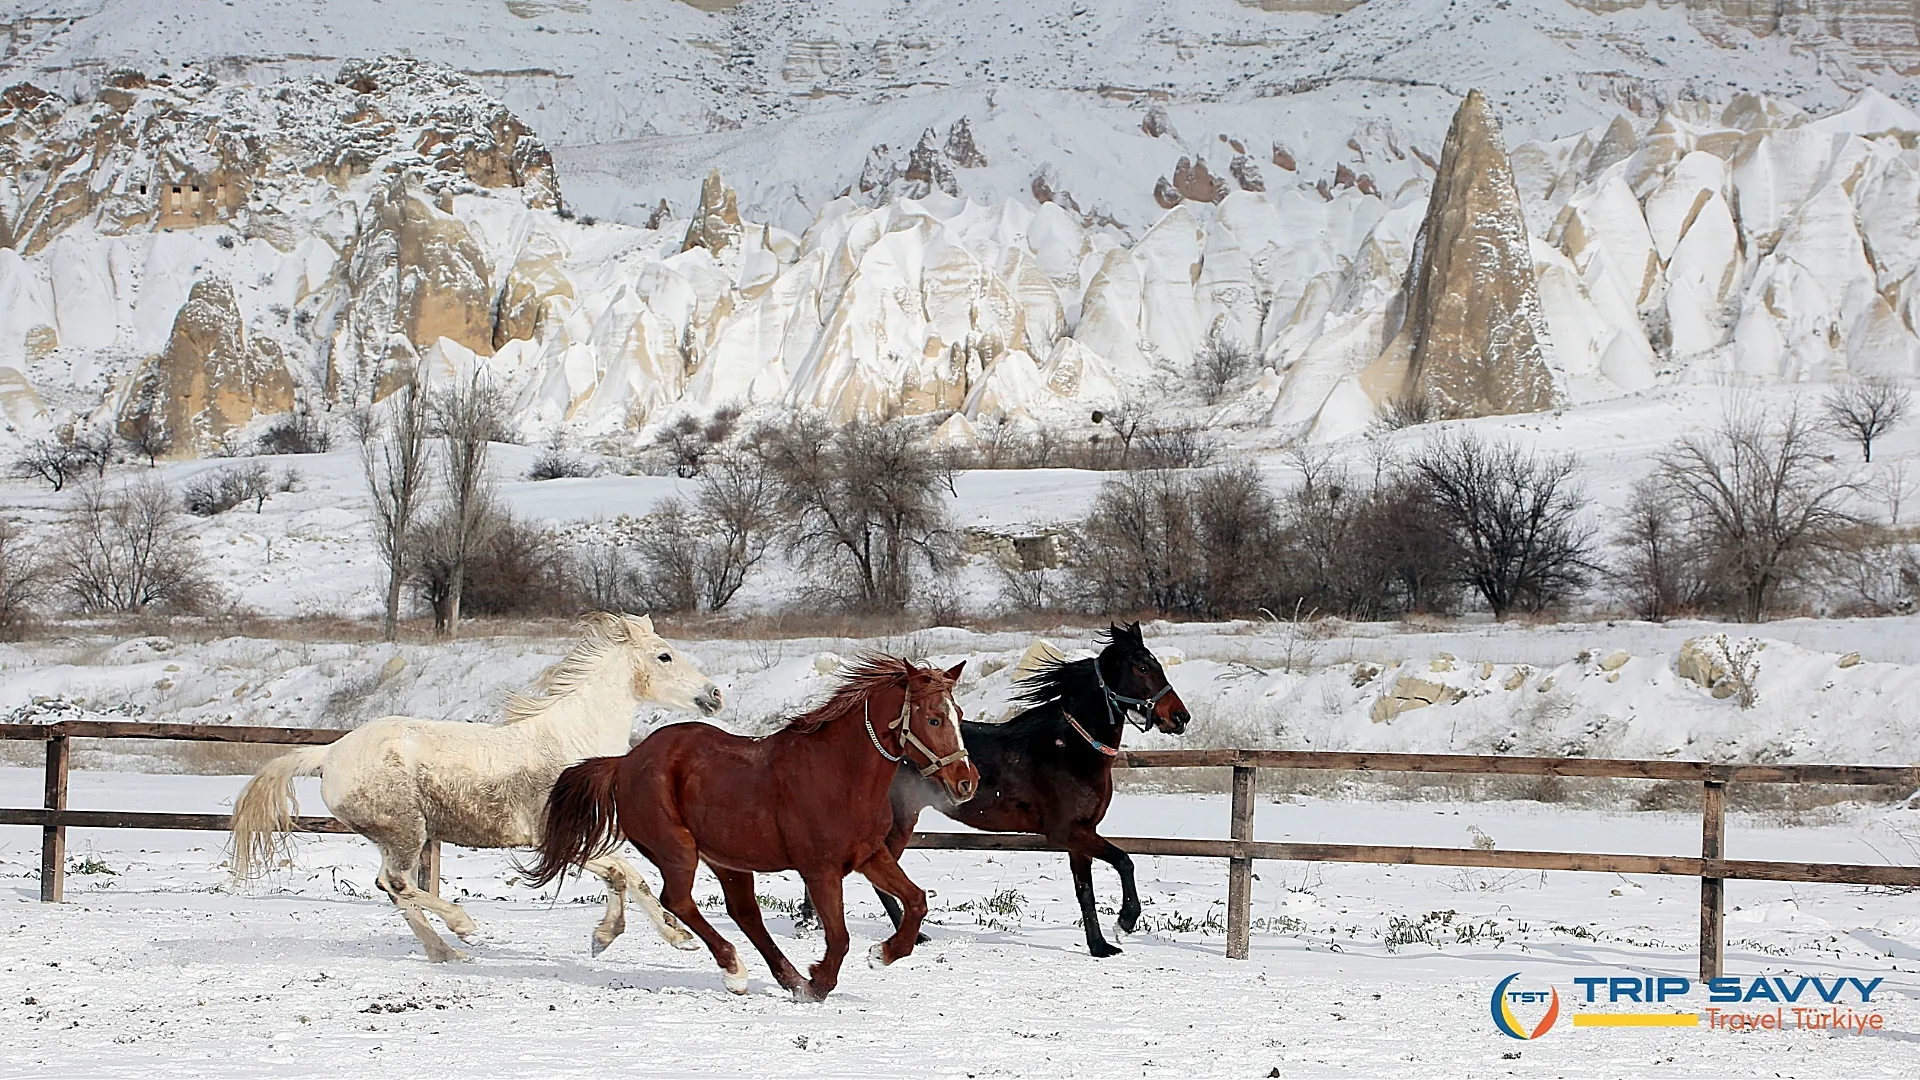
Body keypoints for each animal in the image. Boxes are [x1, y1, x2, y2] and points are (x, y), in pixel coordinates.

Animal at [229, 612, 724, 962]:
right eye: (664, 656)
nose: (715, 694)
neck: (573, 742)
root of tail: (329, 754)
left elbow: (628, 877)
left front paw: (645, 937)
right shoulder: (554, 838)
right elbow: (626, 875)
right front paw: (637, 936)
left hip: (398, 836)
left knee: (393, 887)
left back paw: (447, 953)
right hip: (405, 830)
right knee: (395, 882)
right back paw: (461, 927)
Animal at [522, 655, 978, 1001]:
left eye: (958, 715)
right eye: (934, 719)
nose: (967, 782)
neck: (839, 774)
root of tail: (624, 762)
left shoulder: (870, 855)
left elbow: (916, 901)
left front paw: (880, 954)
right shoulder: (820, 870)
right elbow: (840, 936)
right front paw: (820, 982)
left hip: (729, 860)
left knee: (745, 913)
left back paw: (786, 978)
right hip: (678, 849)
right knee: (679, 901)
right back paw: (734, 970)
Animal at [797, 621, 1189, 957]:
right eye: (1142, 668)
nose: (1180, 717)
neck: (1070, 748)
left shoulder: (1082, 834)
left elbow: (1086, 892)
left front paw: (1100, 946)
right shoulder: (1067, 831)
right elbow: (1124, 861)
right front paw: (1125, 922)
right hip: (897, 822)